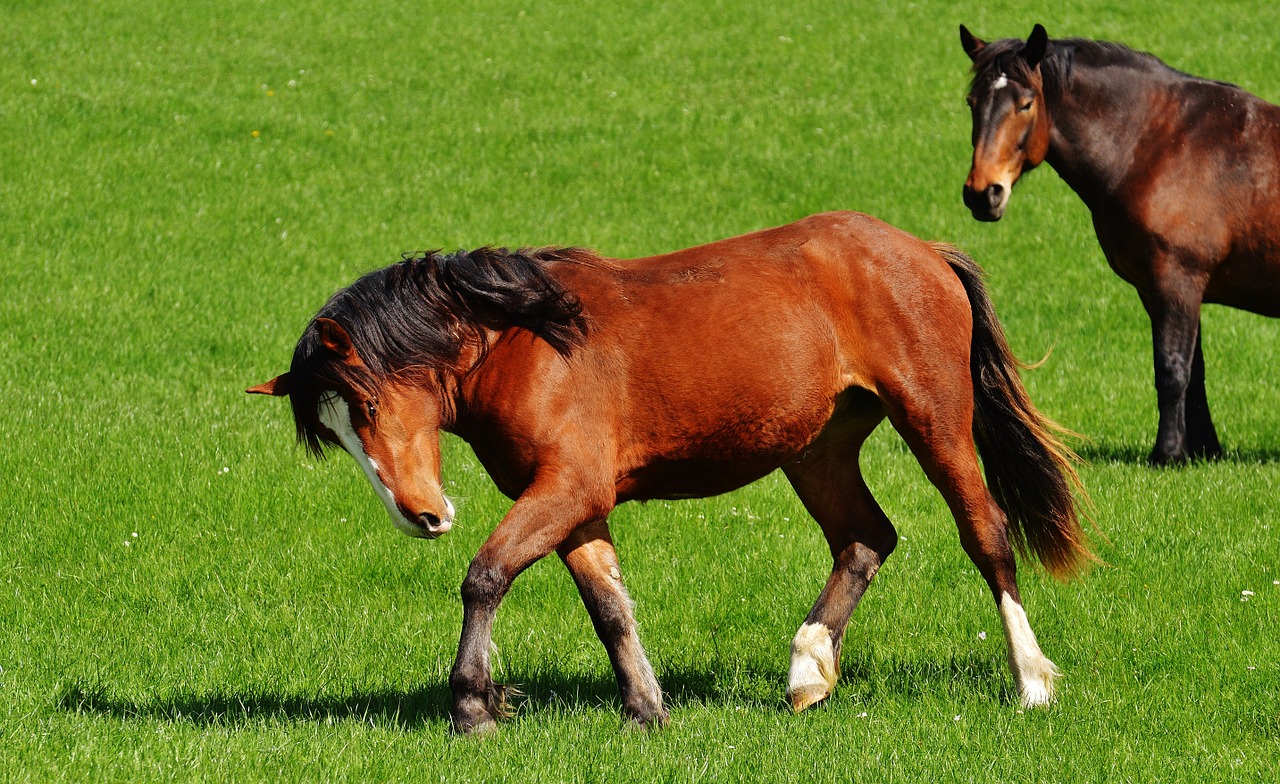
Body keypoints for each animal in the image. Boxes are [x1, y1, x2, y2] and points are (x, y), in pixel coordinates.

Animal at [247, 211, 1090, 732]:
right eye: (337, 436)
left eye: (368, 405)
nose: (423, 516)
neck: (526, 341)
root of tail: (920, 248)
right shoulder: (576, 506)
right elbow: (610, 609)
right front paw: (646, 709)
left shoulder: (566, 489)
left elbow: (485, 577)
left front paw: (473, 706)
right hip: (816, 448)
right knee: (864, 539)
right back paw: (808, 671)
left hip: (935, 421)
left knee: (986, 535)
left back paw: (1031, 682)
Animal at [962, 24, 1280, 461]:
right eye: (972, 102)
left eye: (1025, 104)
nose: (982, 193)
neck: (1158, 142)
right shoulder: (1162, 288)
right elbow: (1194, 372)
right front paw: (1204, 450)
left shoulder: (1176, 280)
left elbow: (1172, 368)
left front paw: (1167, 453)